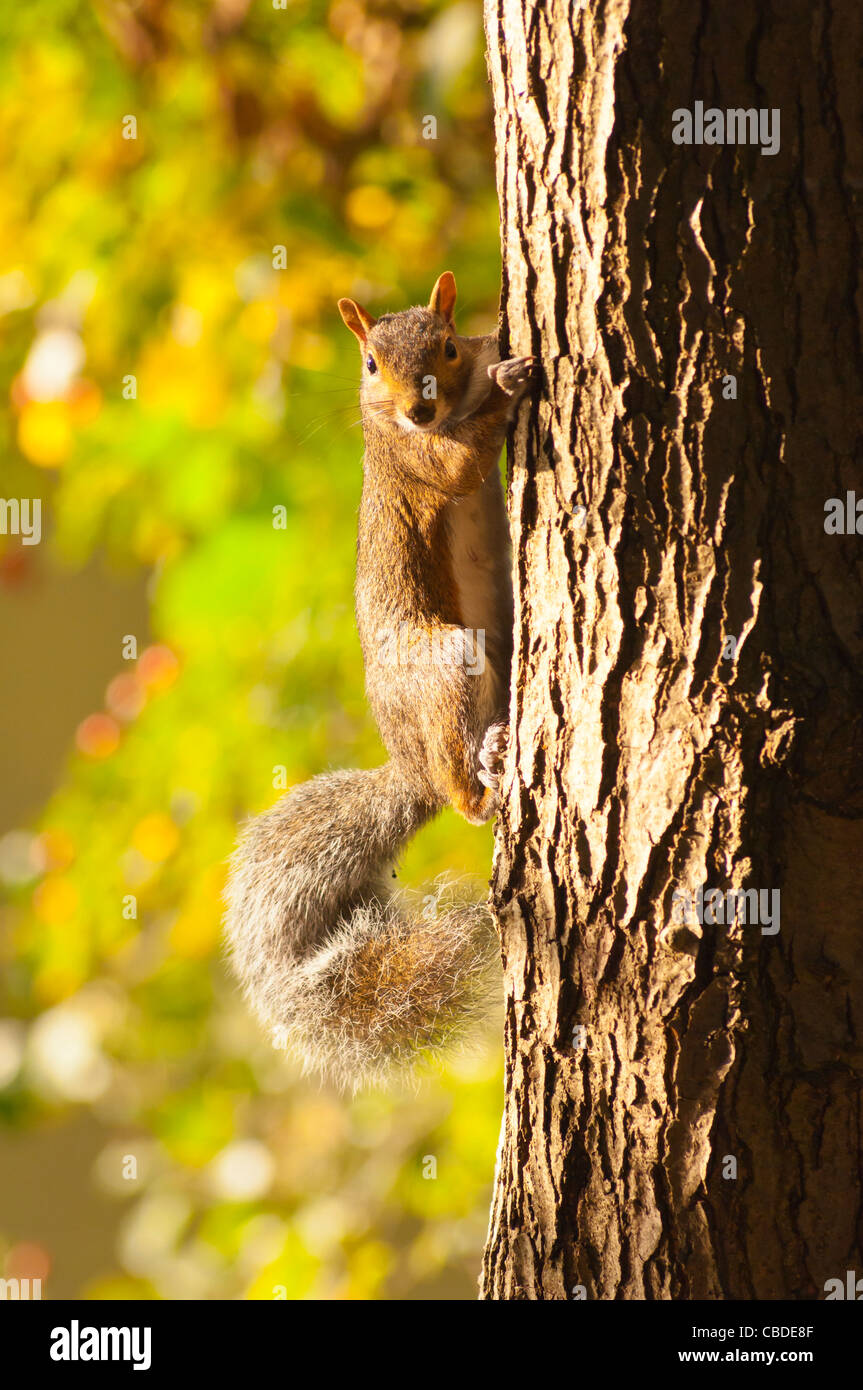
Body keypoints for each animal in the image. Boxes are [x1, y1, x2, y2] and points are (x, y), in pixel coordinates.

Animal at [223, 271, 530, 1089]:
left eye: (446, 346)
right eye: (368, 365)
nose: (417, 409)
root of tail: (409, 770)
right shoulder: (410, 458)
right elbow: (460, 463)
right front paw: (511, 386)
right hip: (446, 662)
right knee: (459, 798)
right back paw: (485, 779)